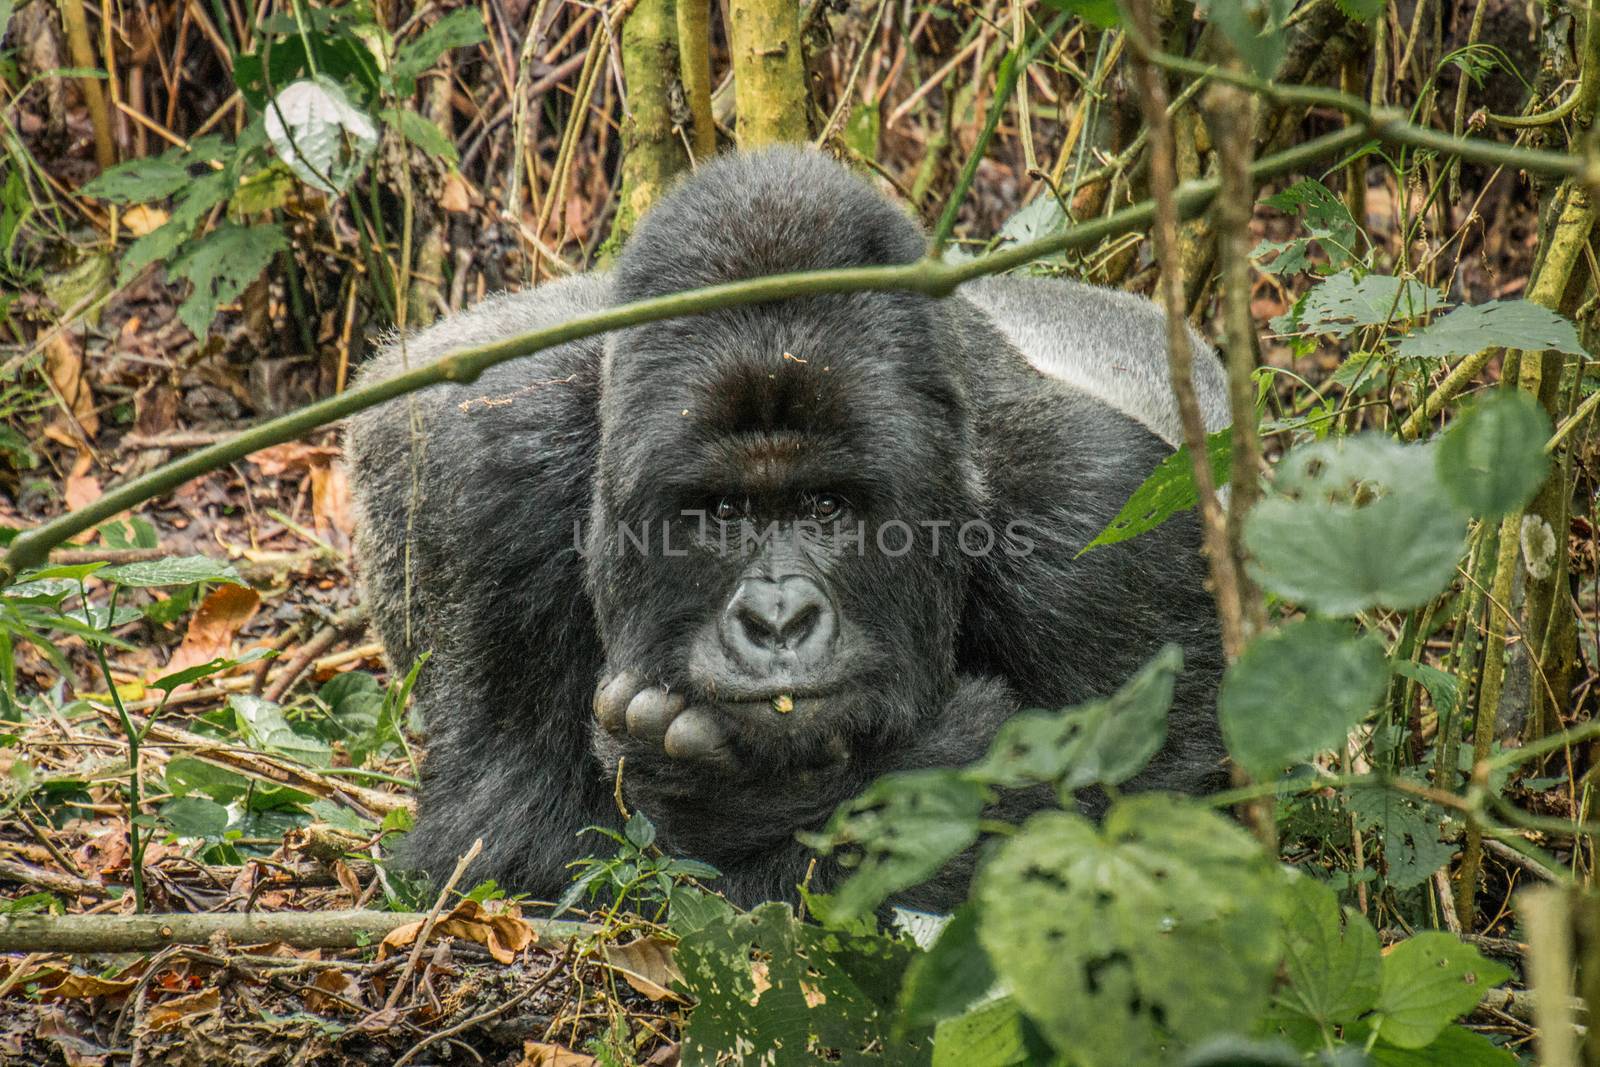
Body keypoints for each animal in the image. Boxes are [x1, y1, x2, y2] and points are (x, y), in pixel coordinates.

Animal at [344, 143, 1228, 908]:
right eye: (724, 511)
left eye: (826, 506)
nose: (777, 620)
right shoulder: (489, 480)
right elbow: (506, 833)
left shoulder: (1103, 518)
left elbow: (1149, 824)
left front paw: (732, 790)